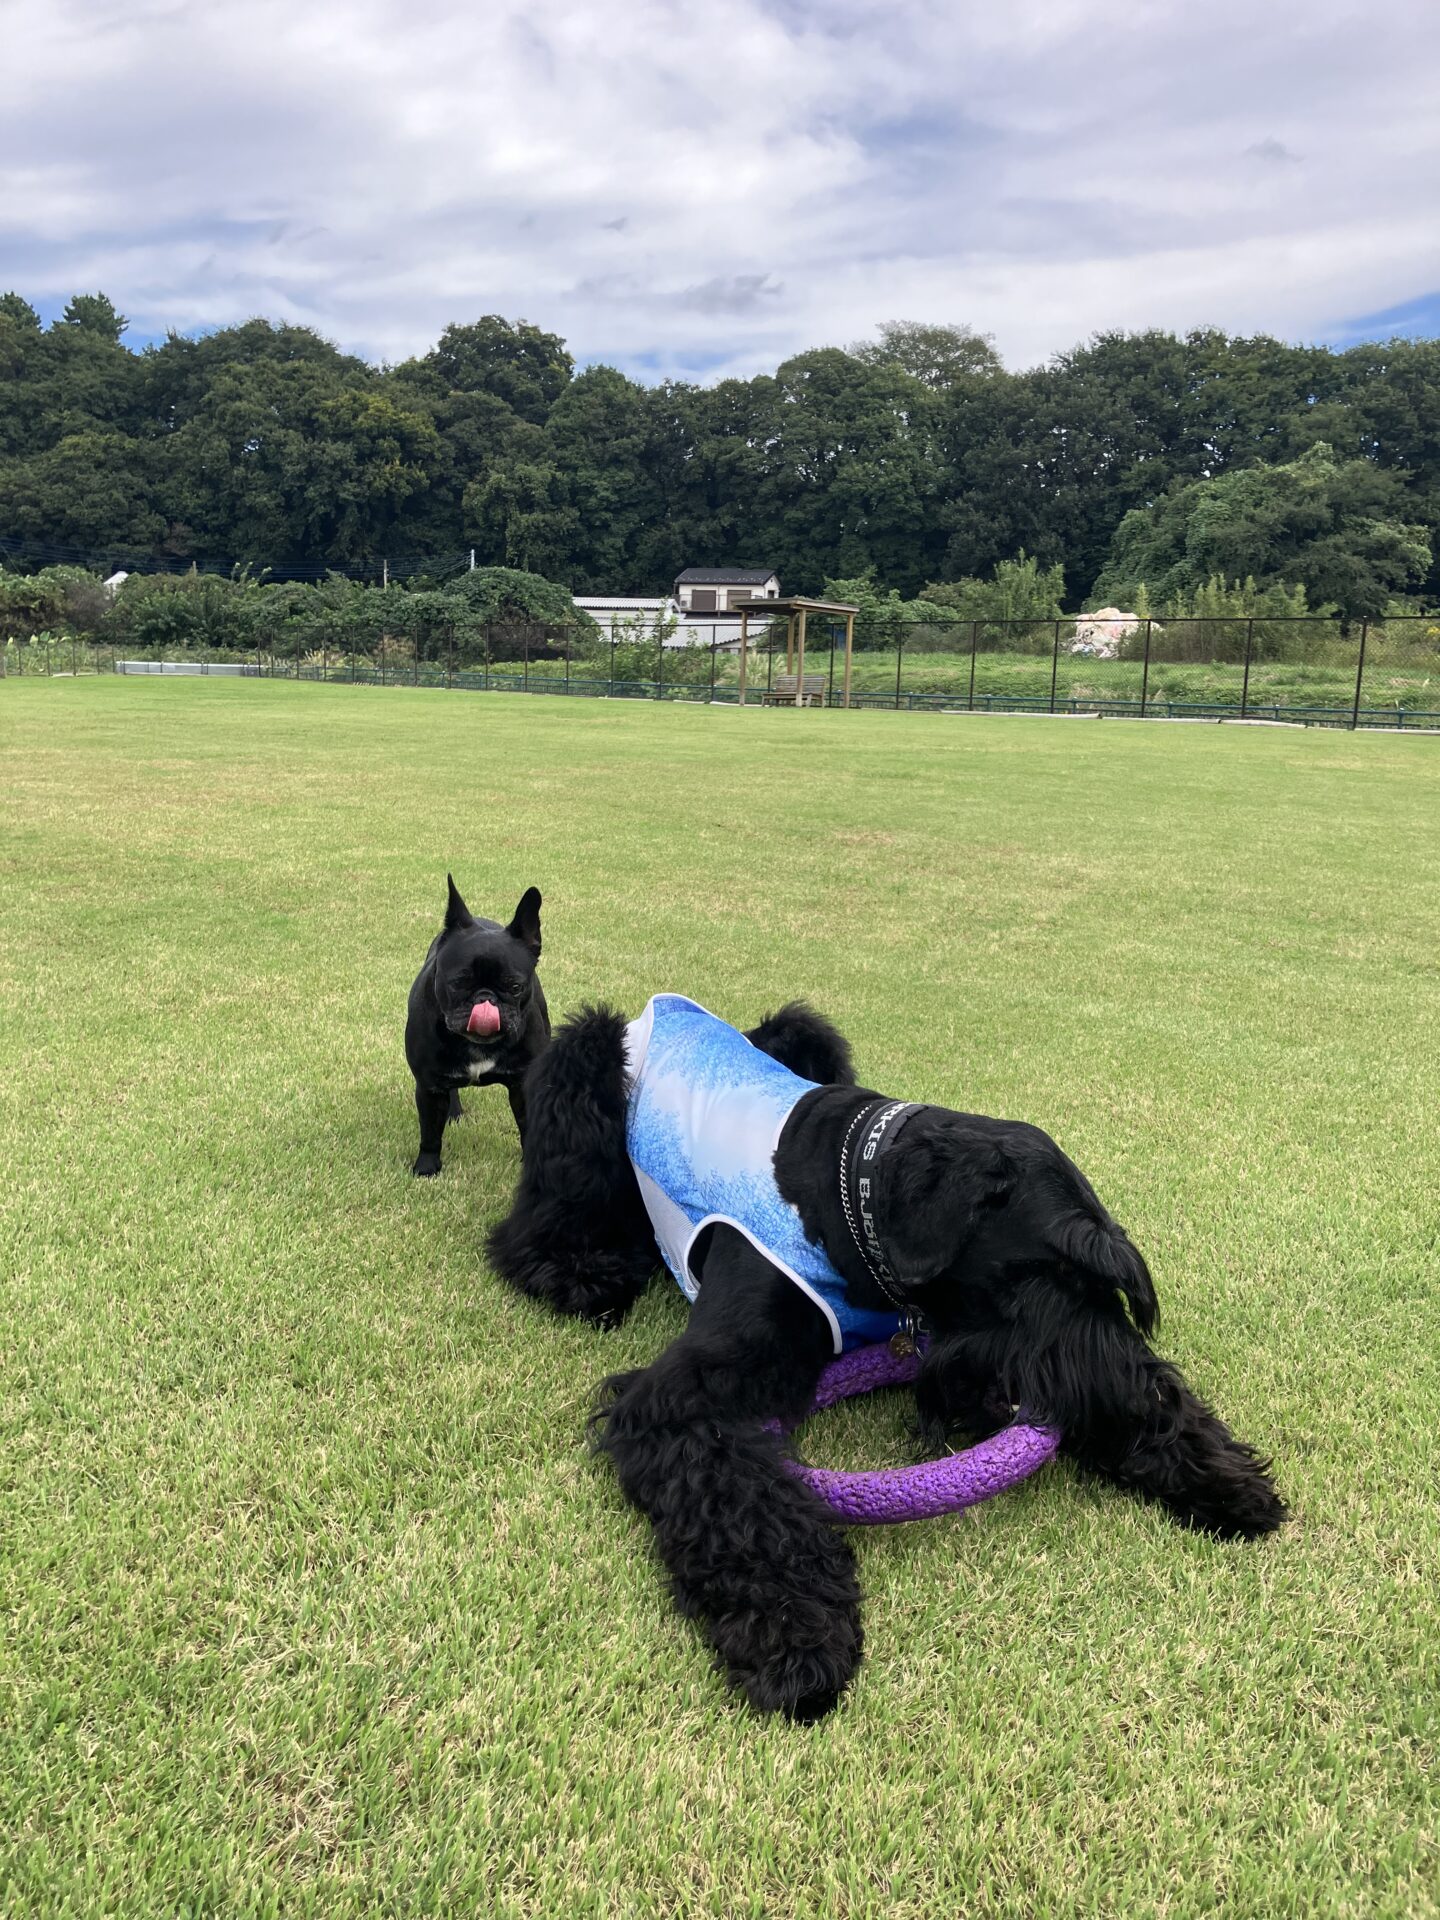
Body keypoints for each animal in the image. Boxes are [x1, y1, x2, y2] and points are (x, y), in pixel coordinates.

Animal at [404, 877, 549, 1175]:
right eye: (458, 983)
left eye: (515, 987)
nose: (485, 998)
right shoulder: (428, 1086)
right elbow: (430, 1132)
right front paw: (427, 1168)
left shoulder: (522, 1085)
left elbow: (527, 1127)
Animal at [486, 993, 1286, 1720]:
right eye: (1041, 1274)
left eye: (1105, 1288)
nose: (1128, 1397)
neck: (849, 1198)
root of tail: (668, 1008)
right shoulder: (684, 1397)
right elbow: (742, 1501)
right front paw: (797, 1637)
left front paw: (1220, 1478)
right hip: (584, 1070)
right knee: (538, 1220)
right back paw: (584, 1274)